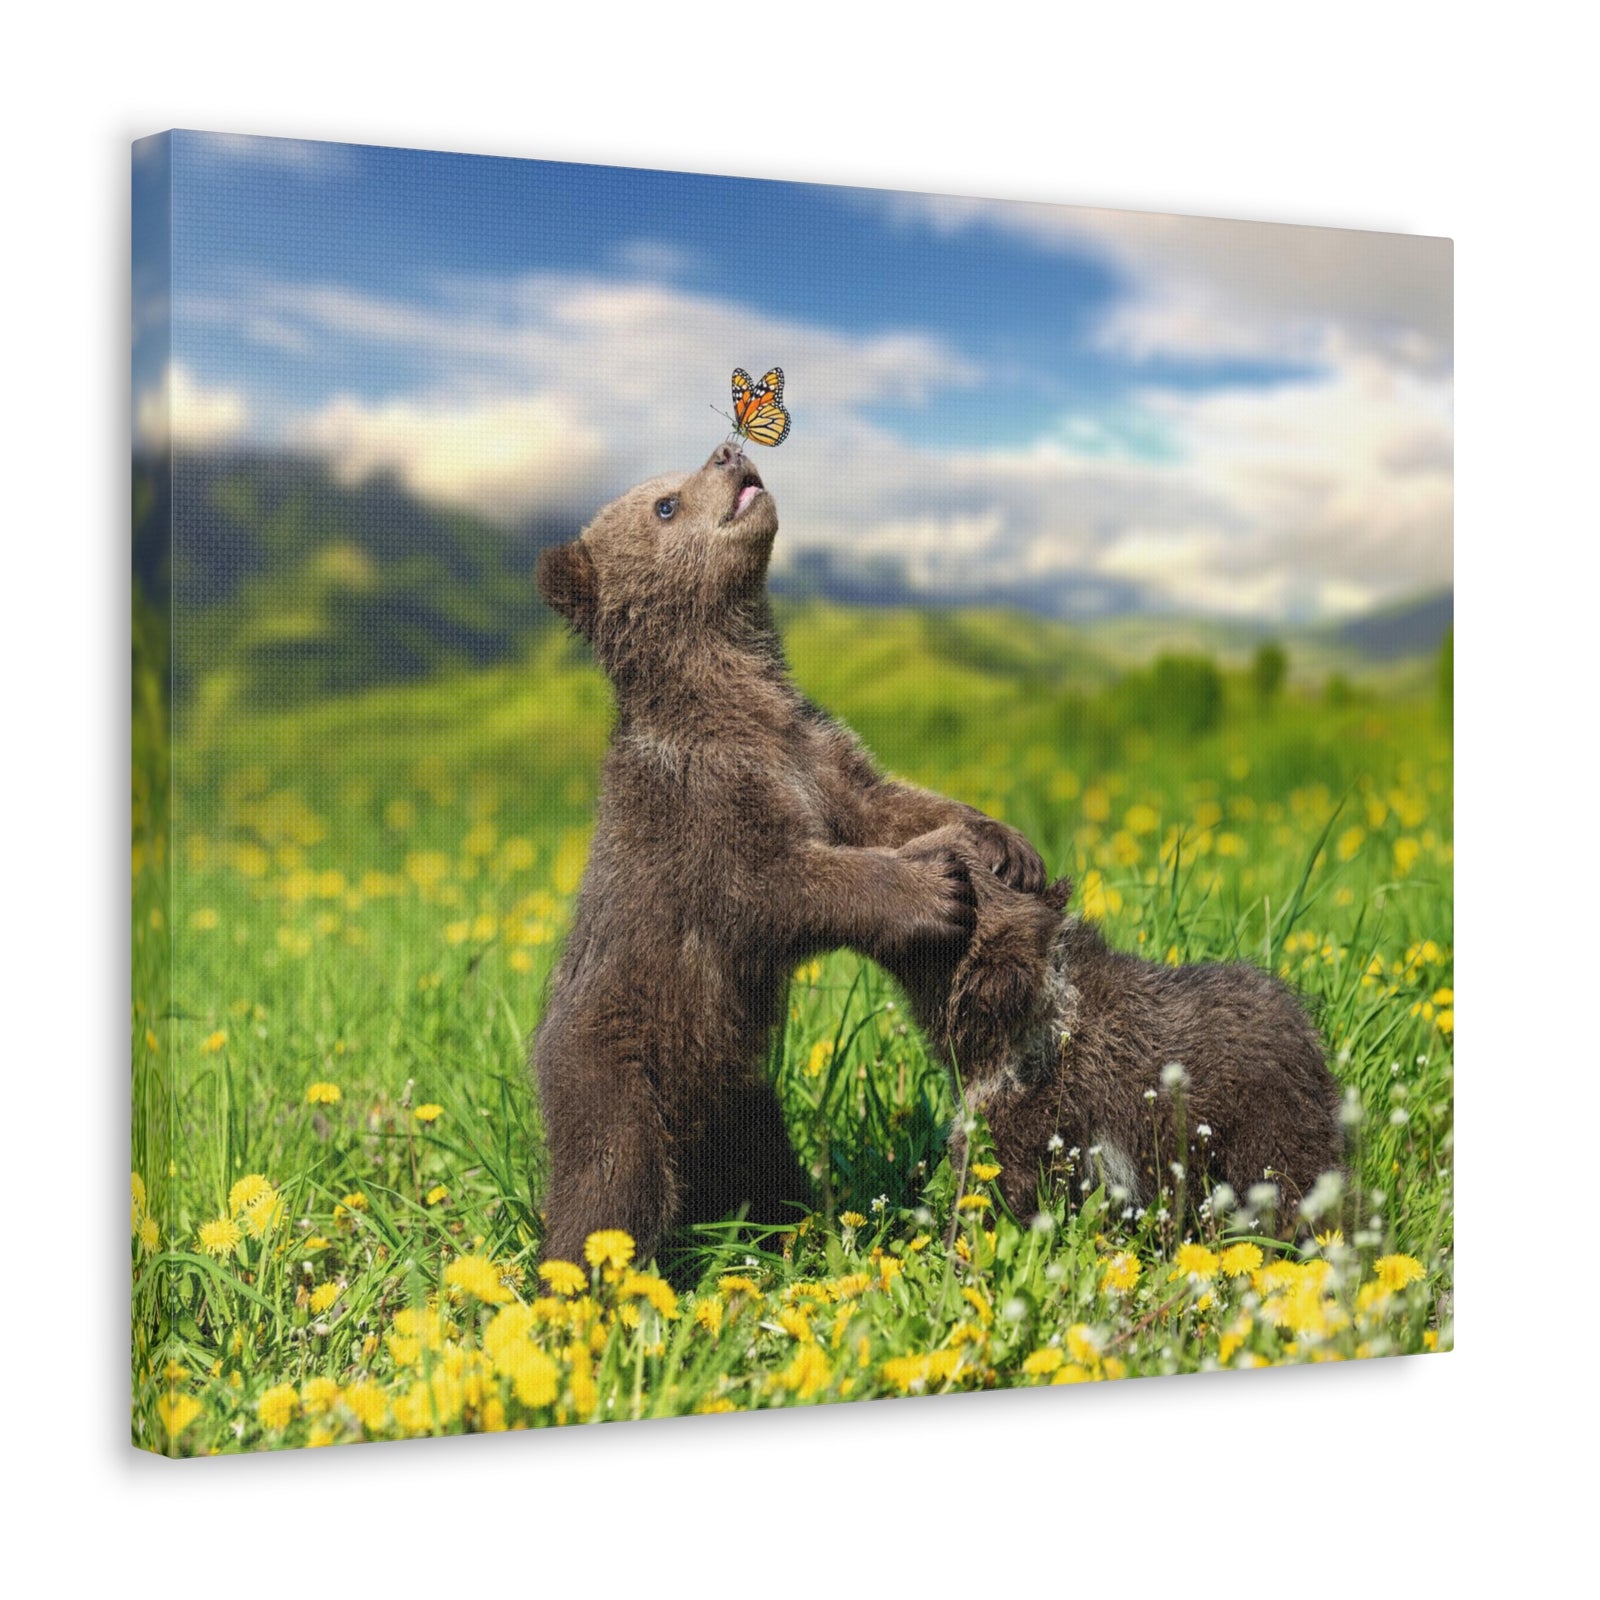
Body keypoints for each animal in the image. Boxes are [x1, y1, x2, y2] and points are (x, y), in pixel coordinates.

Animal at [531, 443, 1045, 1265]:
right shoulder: (701, 807)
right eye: (664, 504)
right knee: (612, 1183)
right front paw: (933, 891)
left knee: (764, 1165)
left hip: (740, 1093)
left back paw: (794, 1228)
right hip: (616, 1065)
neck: (736, 702)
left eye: (678, 479)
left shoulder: (817, 755)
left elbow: (887, 805)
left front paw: (1002, 841)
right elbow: (773, 884)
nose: (728, 451)